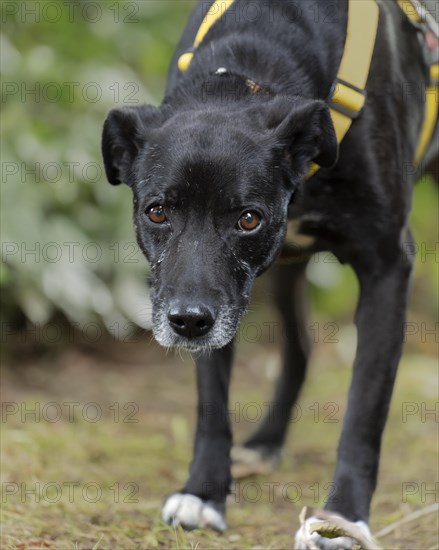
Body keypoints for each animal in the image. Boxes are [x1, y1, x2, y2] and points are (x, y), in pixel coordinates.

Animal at [101, 2, 438, 548]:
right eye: (157, 211)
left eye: (248, 218)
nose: (186, 323)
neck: (253, 66)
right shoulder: (210, 297)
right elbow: (212, 397)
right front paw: (203, 493)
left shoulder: (388, 265)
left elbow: (365, 410)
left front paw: (343, 517)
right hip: (280, 271)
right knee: (300, 347)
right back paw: (265, 442)